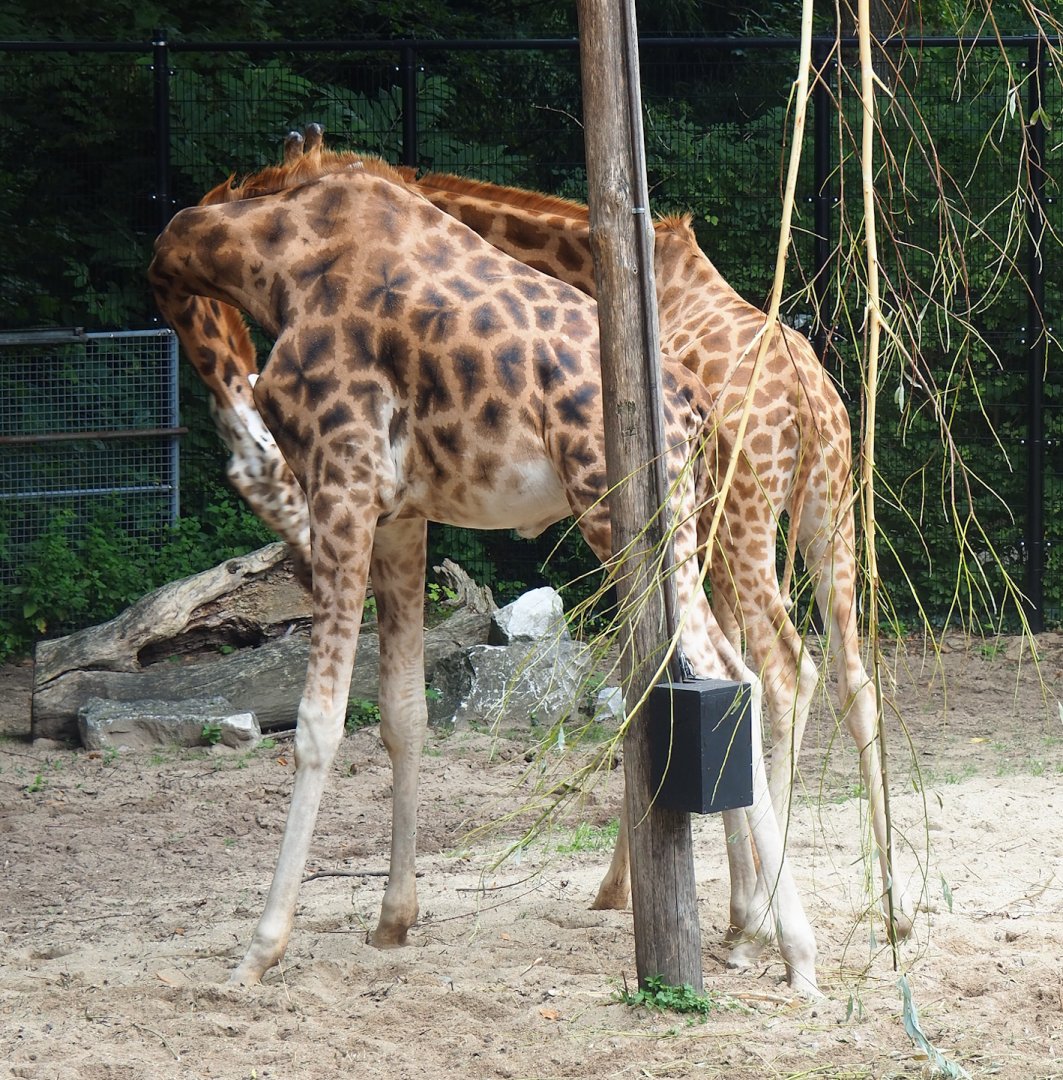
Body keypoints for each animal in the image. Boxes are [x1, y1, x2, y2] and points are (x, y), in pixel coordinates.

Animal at [184, 126, 912, 945]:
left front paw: (708, 904)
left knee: (786, 670)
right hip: (824, 515)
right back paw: (893, 911)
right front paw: (729, 902)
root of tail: (810, 401)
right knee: (850, 674)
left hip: (741, 521)